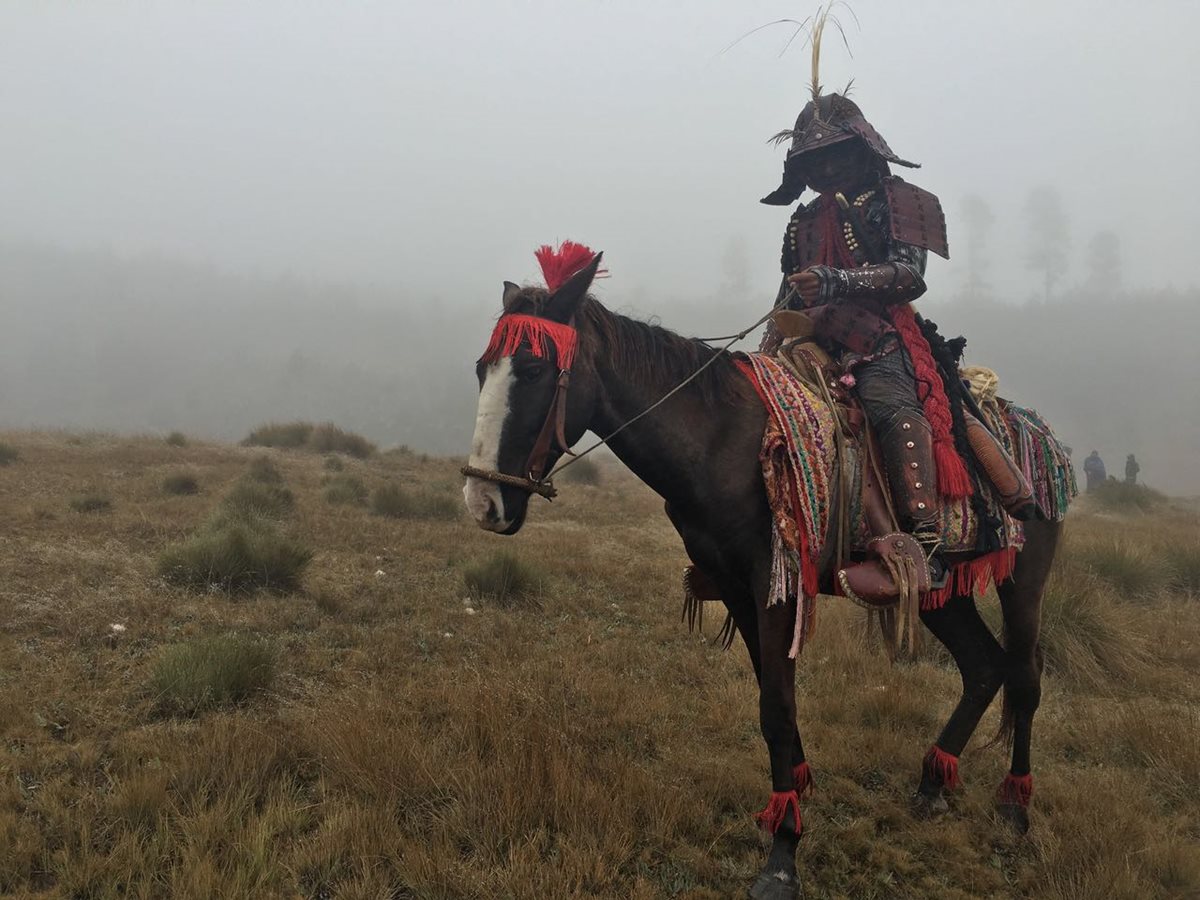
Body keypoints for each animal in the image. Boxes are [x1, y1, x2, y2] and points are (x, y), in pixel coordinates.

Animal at [463, 255, 1065, 900]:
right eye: (481, 369)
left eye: (532, 369)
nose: (482, 503)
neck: (721, 438)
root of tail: (1035, 431)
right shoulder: (734, 586)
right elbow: (775, 701)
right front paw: (791, 800)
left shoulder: (775, 583)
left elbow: (776, 706)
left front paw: (782, 855)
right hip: (936, 593)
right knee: (982, 665)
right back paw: (933, 782)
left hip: (1024, 578)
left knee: (1023, 674)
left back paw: (1015, 805)